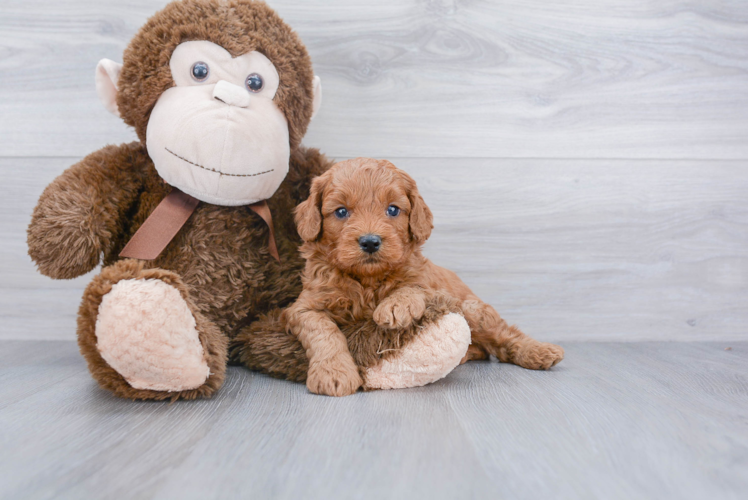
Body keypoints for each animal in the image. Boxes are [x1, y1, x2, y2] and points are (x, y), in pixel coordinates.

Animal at [284, 158, 564, 396]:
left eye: (393, 209)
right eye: (341, 212)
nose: (370, 242)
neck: (367, 279)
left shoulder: (430, 284)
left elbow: (415, 286)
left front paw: (396, 305)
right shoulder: (304, 307)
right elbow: (324, 332)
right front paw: (333, 373)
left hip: (473, 308)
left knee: (506, 336)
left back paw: (540, 351)